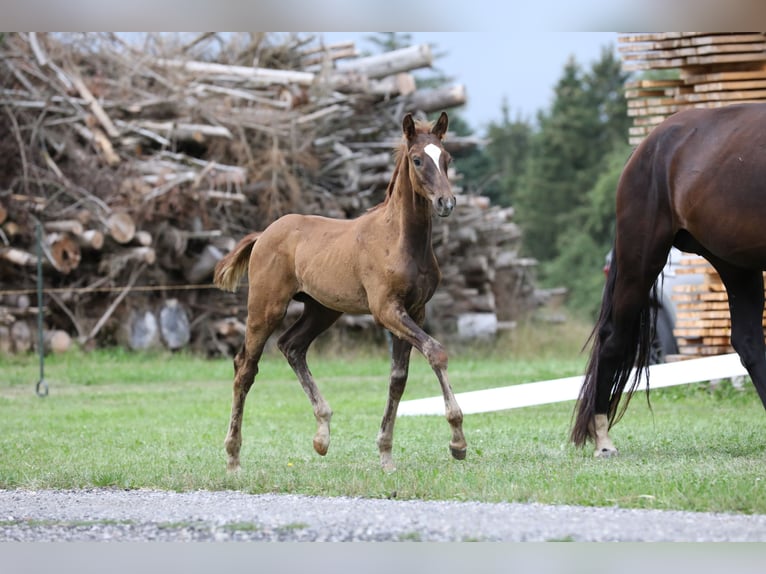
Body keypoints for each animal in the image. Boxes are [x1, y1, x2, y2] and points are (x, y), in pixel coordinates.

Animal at [216, 111, 468, 472]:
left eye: (447, 158)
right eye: (418, 160)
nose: (445, 202)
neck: (400, 240)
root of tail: (263, 234)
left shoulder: (414, 310)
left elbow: (398, 377)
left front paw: (386, 453)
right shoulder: (386, 310)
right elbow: (436, 352)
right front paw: (458, 441)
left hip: (322, 310)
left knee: (291, 346)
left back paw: (322, 434)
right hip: (266, 307)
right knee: (245, 368)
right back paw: (233, 457)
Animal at [572, 103, 766, 460]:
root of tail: (646, 147)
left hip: (735, 265)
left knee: (748, 342)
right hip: (642, 259)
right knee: (612, 338)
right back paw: (603, 440)